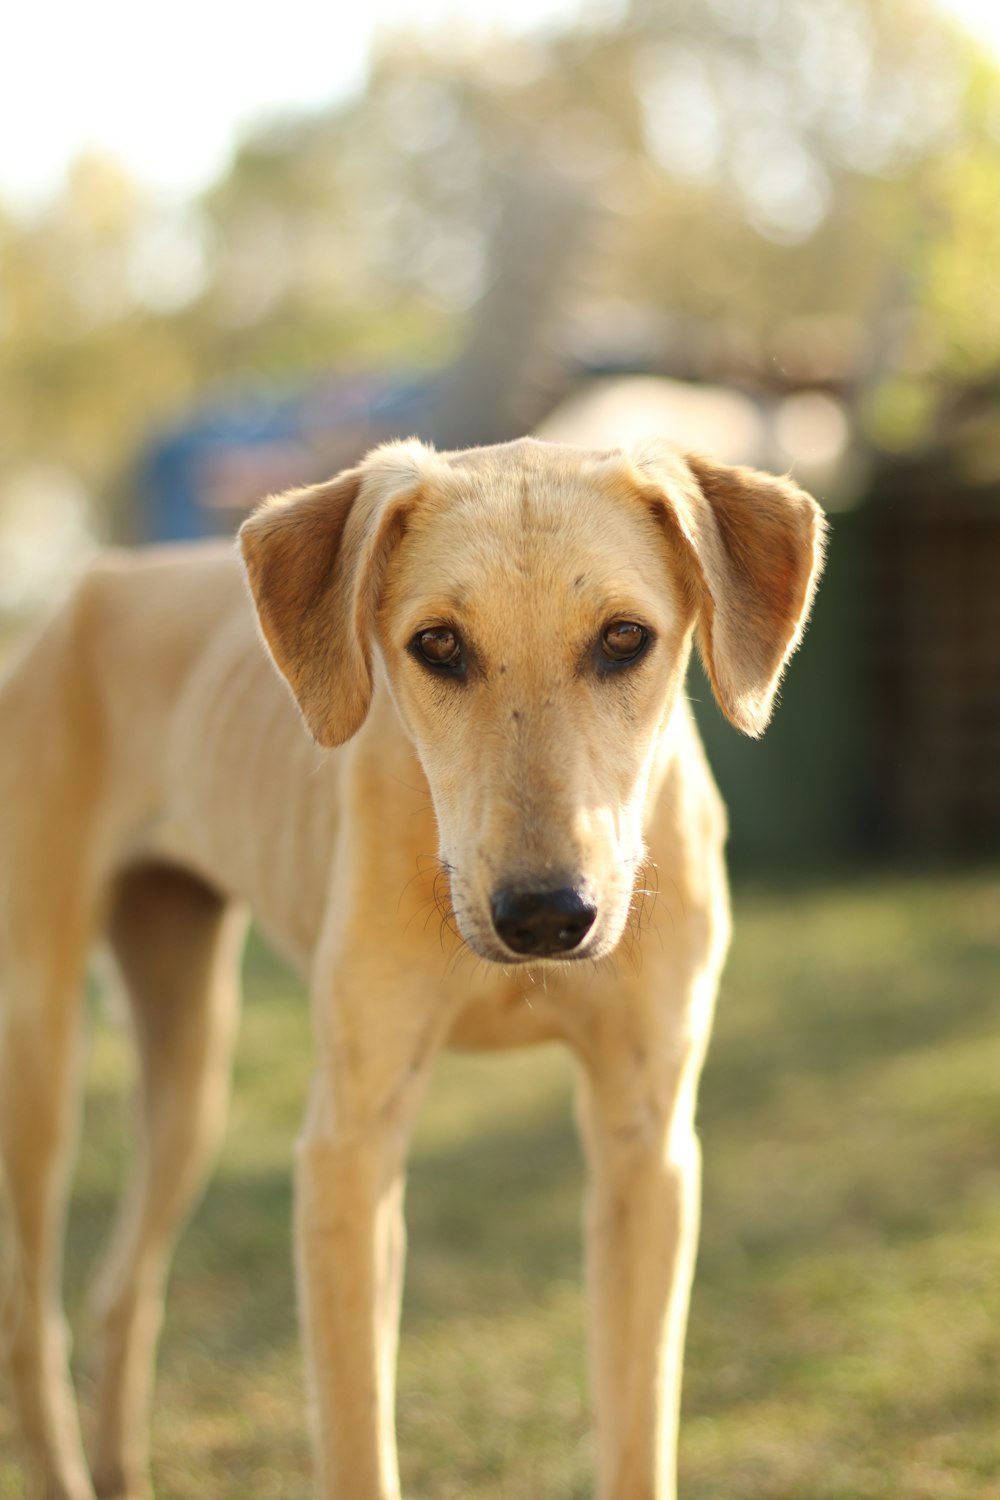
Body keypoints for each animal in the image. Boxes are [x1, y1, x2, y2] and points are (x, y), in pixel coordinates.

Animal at [0, 438, 827, 1500]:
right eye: (437, 644)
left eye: (624, 638)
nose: (546, 917)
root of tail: (95, 586)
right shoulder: (349, 1151)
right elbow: (358, 1439)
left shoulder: (646, 1146)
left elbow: (638, 1432)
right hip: (41, 1061)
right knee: (32, 1316)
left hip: (190, 1063)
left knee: (123, 1288)